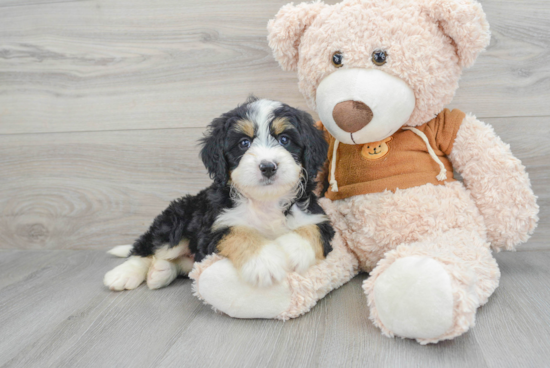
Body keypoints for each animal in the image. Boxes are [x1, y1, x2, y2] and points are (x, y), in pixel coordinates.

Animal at [104, 97, 336, 290]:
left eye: (285, 140)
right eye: (244, 143)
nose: (268, 167)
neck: (265, 201)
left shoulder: (317, 216)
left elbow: (312, 229)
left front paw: (290, 250)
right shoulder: (214, 228)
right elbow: (239, 232)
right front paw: (264, 262)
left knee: (184, 264)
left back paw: (160, 273)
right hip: (175, 222)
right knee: (148, 248)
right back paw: (124, 274)